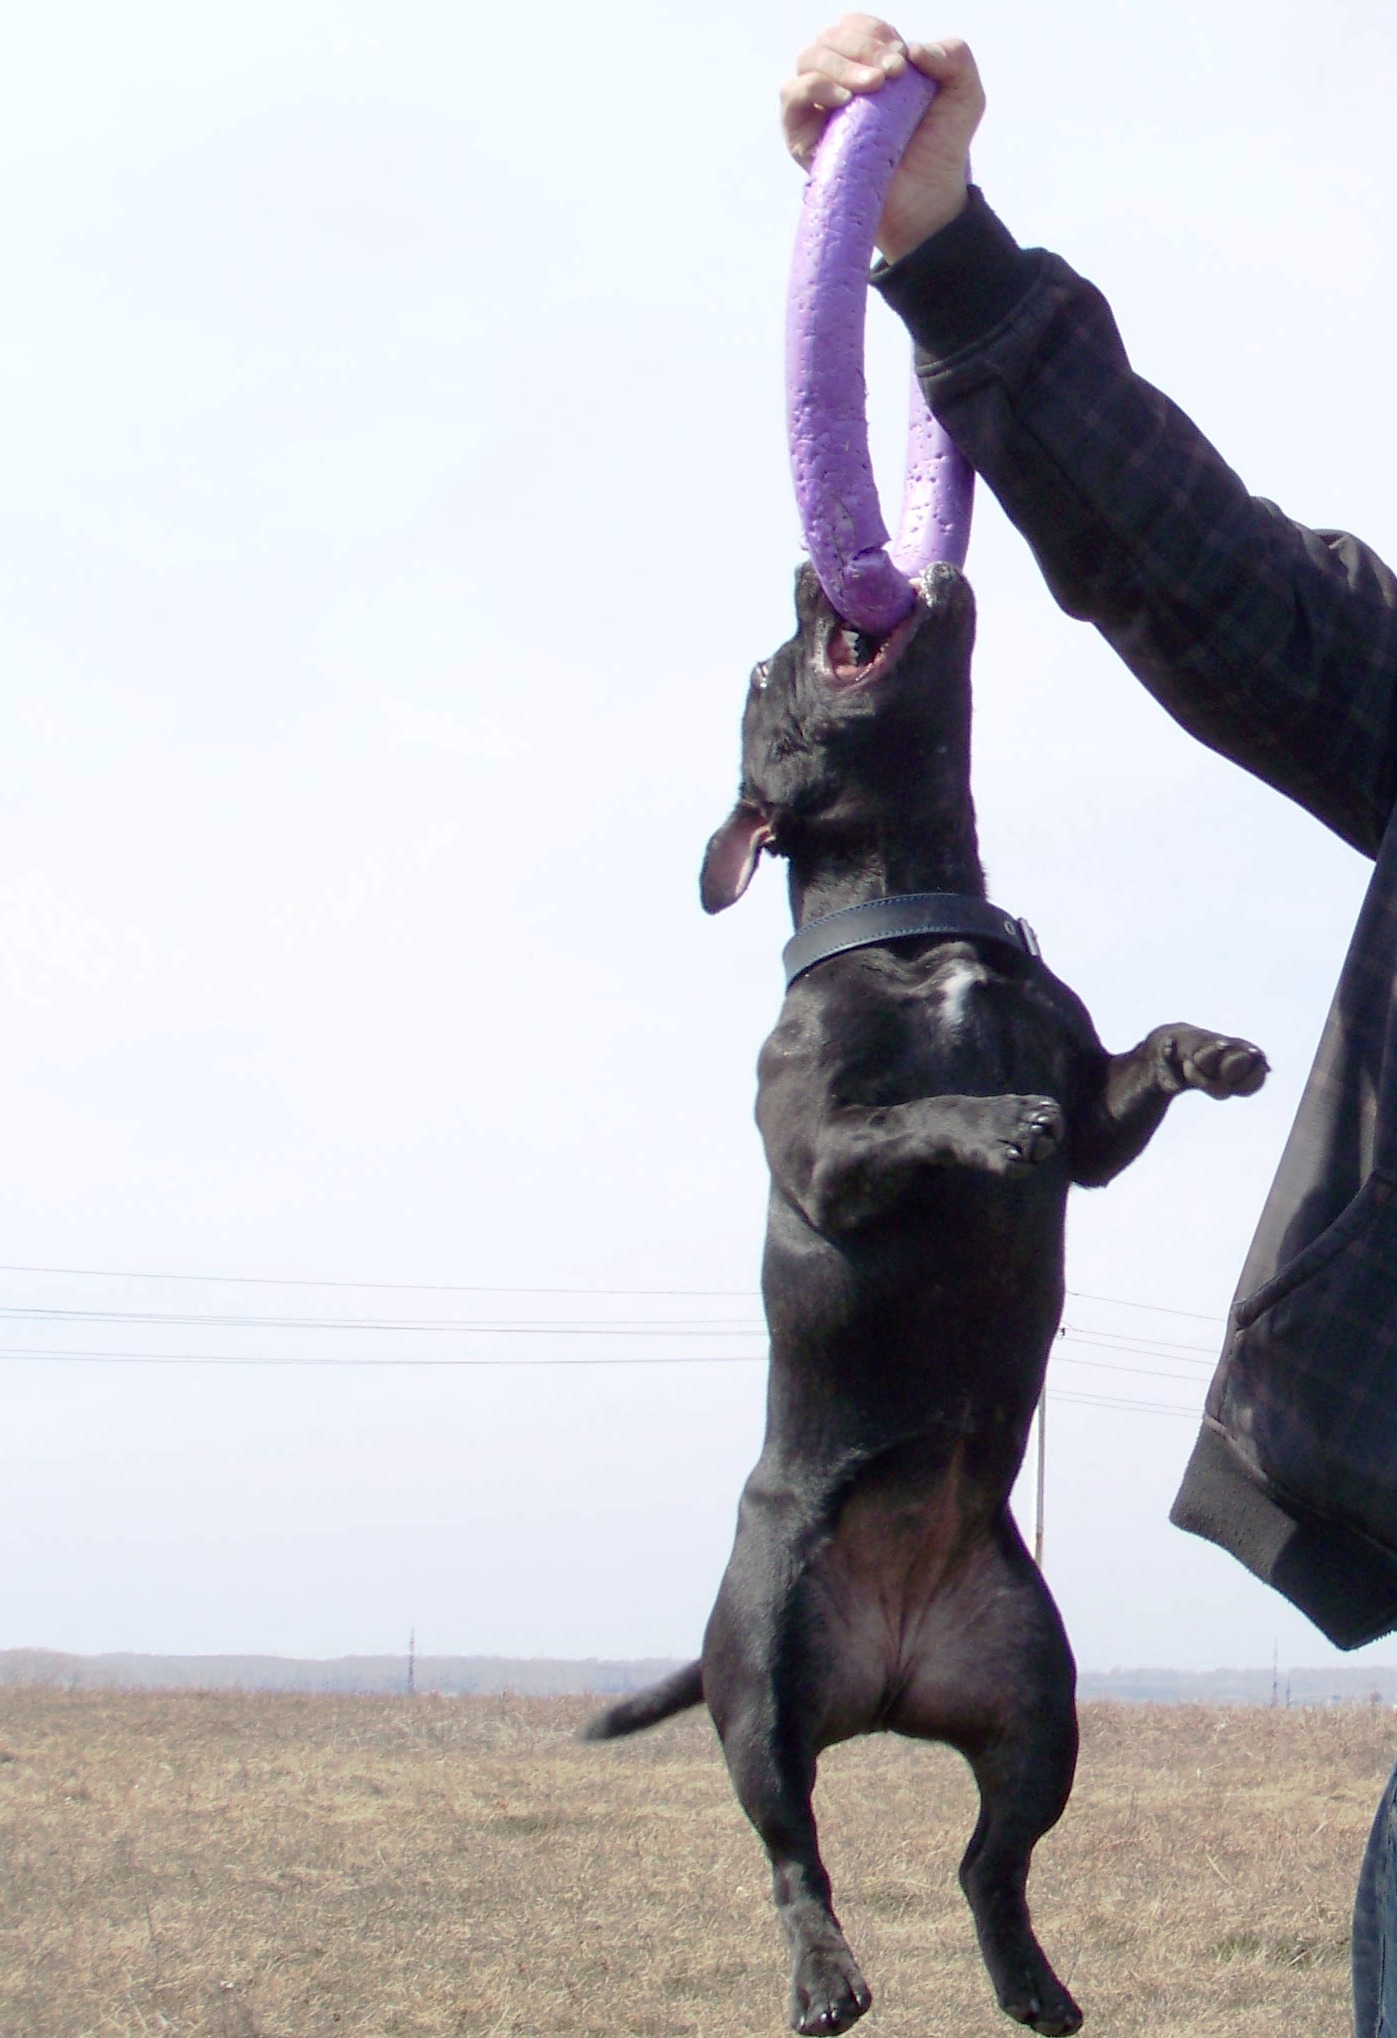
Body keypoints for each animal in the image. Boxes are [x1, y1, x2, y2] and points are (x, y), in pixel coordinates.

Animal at [584, 562, 1266, 2036]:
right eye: (762, 674)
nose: (804, 574)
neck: (918, 919)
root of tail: (892, 1677)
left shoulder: (1096, 1119)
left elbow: (1133, 1065)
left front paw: (1214, 1050)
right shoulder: (822, 1154)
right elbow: (920, 1116)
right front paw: (992, 1120)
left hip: (1037, 1705)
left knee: (984, 1865)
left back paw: (1030, 1979)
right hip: (763, 1683)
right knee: (794, 1850)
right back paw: (825, 1975)